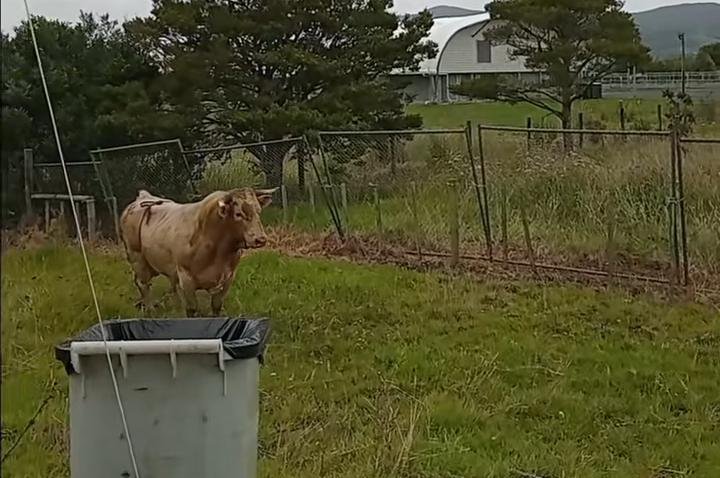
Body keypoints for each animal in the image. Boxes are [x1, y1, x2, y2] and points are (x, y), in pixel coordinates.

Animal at [119, 187, 277, 316]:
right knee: (143, 284)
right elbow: (192, 309)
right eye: (238, 214)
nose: (260, 239)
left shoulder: (227, 279)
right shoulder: (186, 279)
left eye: (258, 211)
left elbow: (216, 307)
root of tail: (143, 198)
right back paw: (150, 309)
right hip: (138, 260)